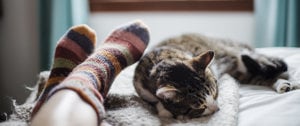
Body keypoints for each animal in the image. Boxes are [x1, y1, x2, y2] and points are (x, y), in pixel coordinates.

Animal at [134, 33, 298, 119]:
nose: (217, 109)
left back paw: (287, 82)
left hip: (238, 54)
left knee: (268, 65)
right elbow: (155, 100)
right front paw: (164, 110)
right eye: (200, 107)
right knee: (258, 76)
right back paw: (283, 84)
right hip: (239, 71)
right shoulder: (140, 87)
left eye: (214, 92)